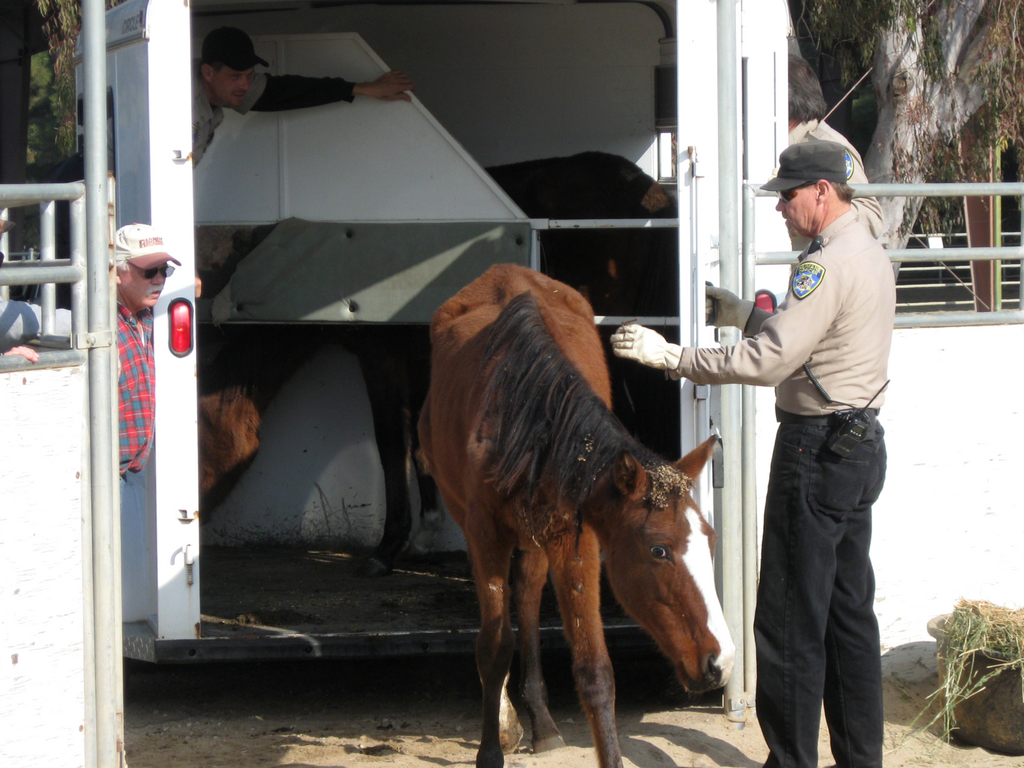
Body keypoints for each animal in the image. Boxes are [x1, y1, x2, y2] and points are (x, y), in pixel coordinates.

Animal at [417, 264, 734, 768]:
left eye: (712, 540)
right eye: (659, 550)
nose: (721, 662)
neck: (530, 416)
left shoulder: (575, 538)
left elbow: (594, 668)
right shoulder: (484, 534)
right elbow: (493, 647)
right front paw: (492, 746)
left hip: (536, 536)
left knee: (527, 600)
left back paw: (542, 722)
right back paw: (509, 719)